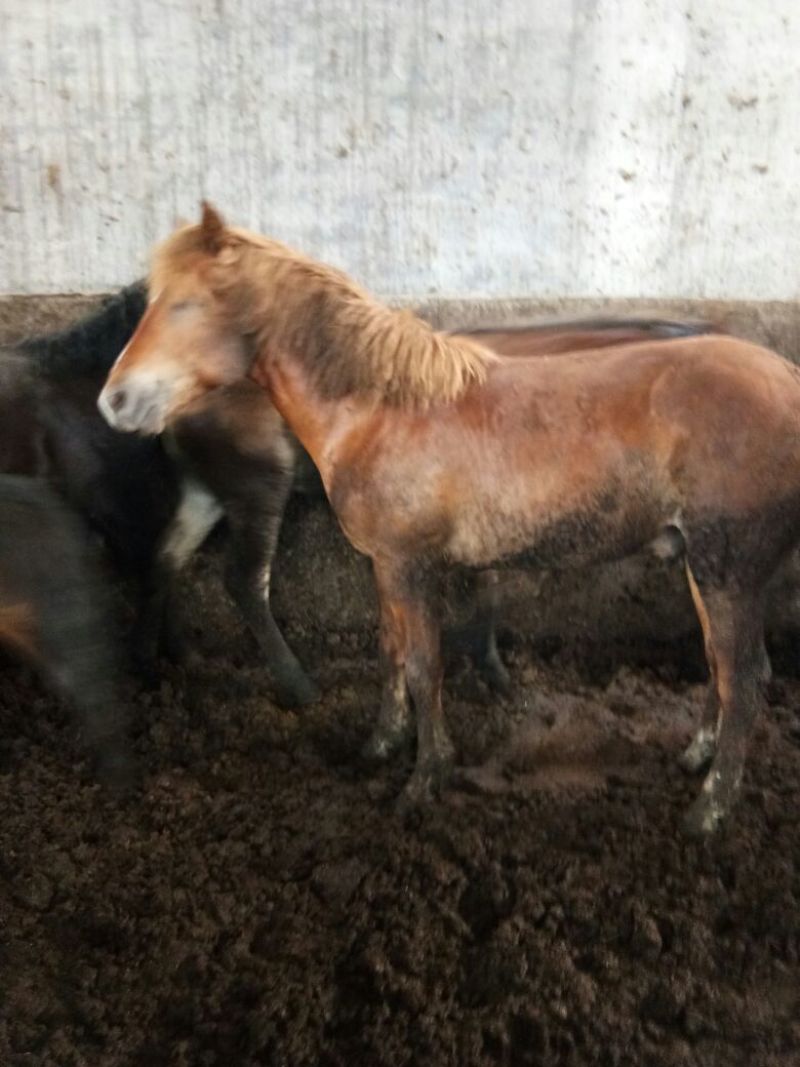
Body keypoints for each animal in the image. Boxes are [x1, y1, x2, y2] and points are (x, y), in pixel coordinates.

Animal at [98, 203, 800, 836]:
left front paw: (424, 780)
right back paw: (695, 757)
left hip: (727, 571)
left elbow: (423, 665)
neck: (380, 409)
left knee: (744, 679)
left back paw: (708, 812)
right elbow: (391, 651)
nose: (117, 401)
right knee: (719, 666)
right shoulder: (385, 565)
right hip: (702, 565)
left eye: (186, 305)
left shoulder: (412, 566)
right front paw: (381, 744)